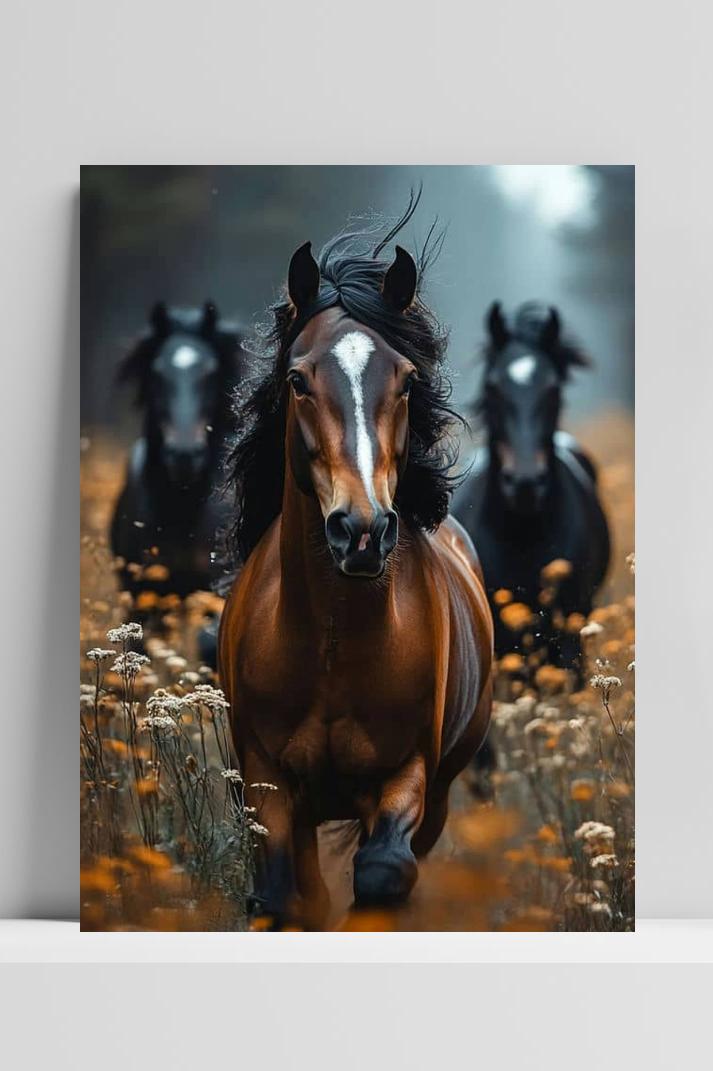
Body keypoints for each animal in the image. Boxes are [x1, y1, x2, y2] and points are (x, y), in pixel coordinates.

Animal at [219, 209, 493, 928]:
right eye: (296, 380)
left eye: (406, 380)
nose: (363, 531)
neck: (331, 642)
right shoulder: (268, 781)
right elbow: (283, 894)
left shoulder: (406, 777)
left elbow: (381, 873)